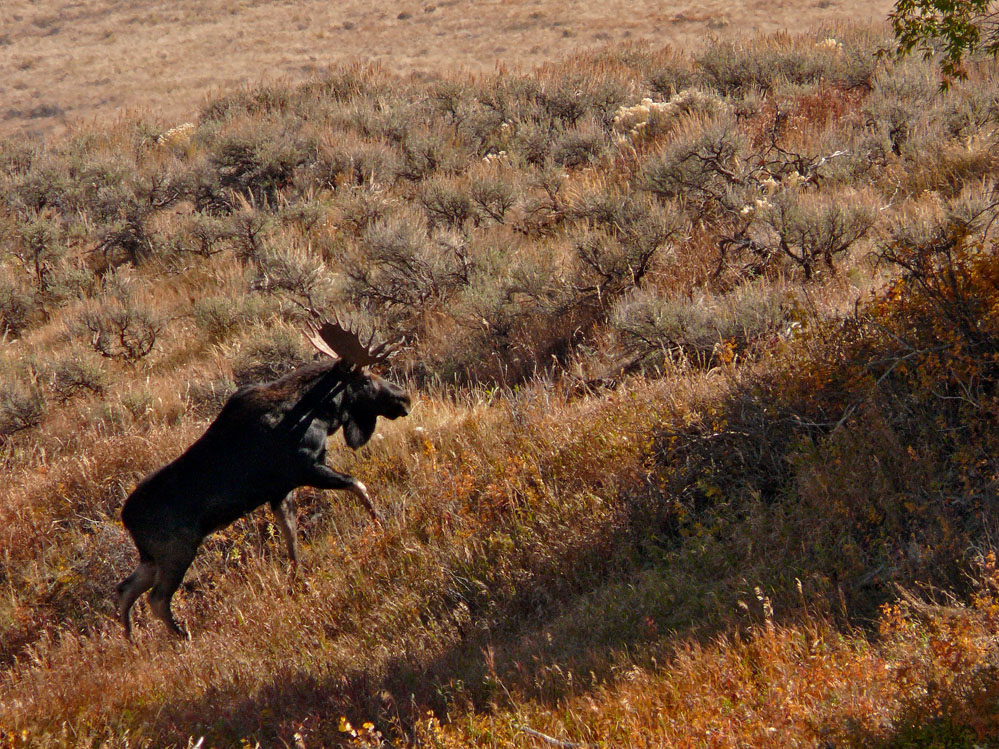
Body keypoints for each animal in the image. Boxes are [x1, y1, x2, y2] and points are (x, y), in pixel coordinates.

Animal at [115, 316, 412, 636]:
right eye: (366, 378)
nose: (404, 398)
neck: (321, 412)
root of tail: (126, 519)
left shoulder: (281, 491)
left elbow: (291, 540)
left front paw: (301, 583)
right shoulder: (308, 469)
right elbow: (359, 485)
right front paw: (380, 524)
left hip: (151, 557)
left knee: (125, 589)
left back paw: (131, 638)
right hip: (176, 552)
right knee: (156, 599)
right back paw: (182, 635)